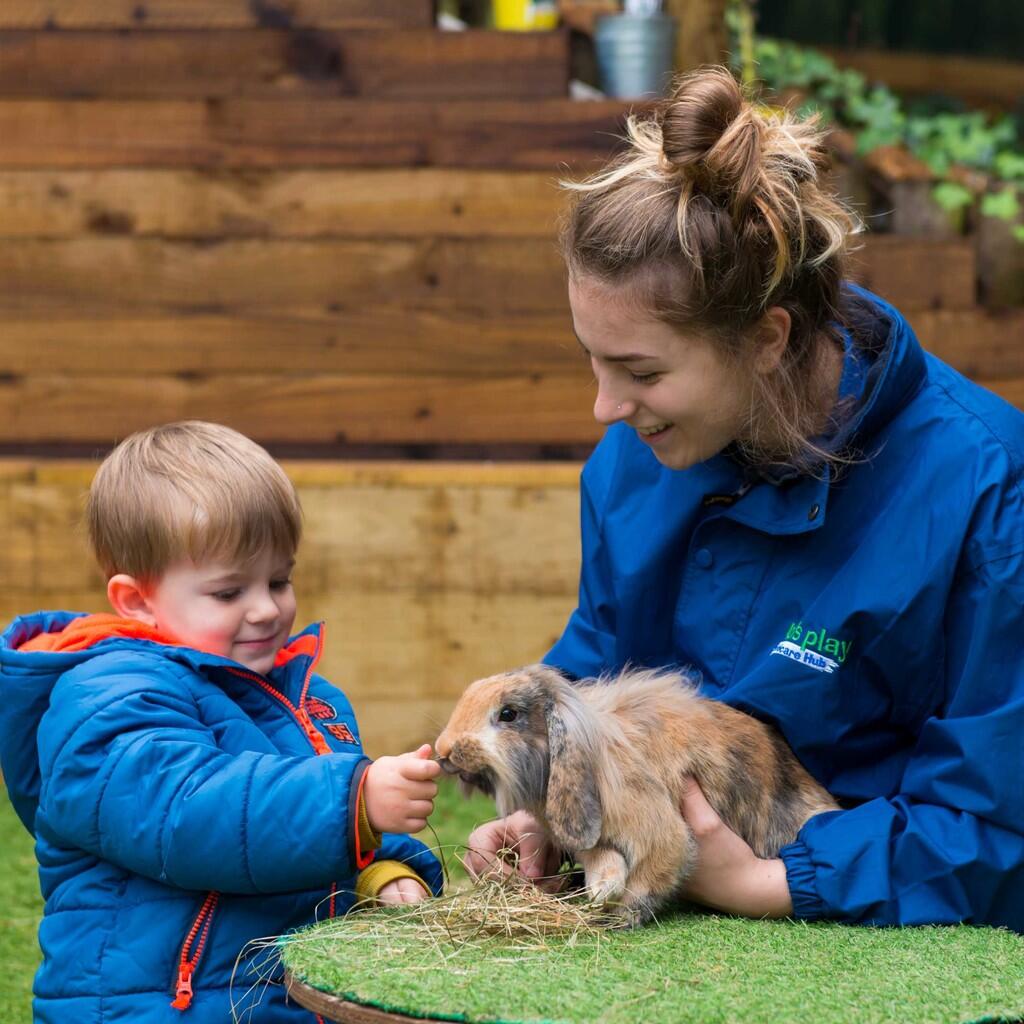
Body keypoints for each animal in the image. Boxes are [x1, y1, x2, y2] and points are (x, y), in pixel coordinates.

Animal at [434, 663, 839, 929]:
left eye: (508, 714)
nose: (443, 749)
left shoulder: (661, 834)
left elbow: (648, 879)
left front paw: (614, 914)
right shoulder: (594, 837)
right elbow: (604, 858)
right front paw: (600, 890)